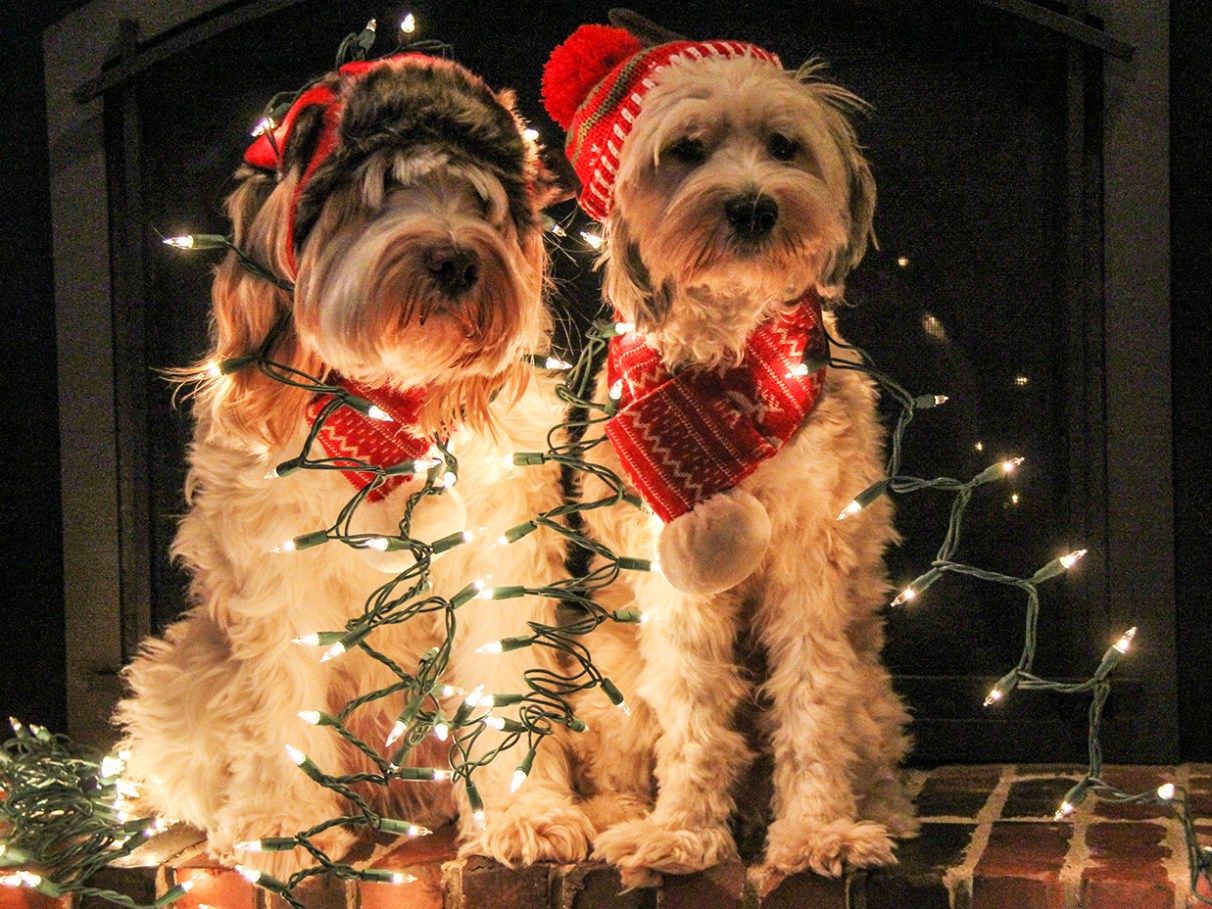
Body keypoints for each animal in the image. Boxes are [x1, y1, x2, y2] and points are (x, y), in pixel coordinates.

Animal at [116, 53, 596, 877]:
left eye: (481, 198)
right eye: (379, 194)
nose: (456, 258)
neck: (387, 409)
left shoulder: (500, 557)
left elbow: (503, 679)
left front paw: (521, 809)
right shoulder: (276, 578)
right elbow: (279, 703)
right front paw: (280, 824)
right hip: (179, 667)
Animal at [545, 17, 911, 892]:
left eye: (784, 144)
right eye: (684, 150)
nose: (752, 205)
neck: (737, 366)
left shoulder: (815, 559)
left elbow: (811, 705)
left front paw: (817, 832)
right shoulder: (676, 572)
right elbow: (693, 708)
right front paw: (679, 832)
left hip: (875, 685)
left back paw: (877, 809)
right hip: (608, 675)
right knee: (615, 756)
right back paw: (619, 817)